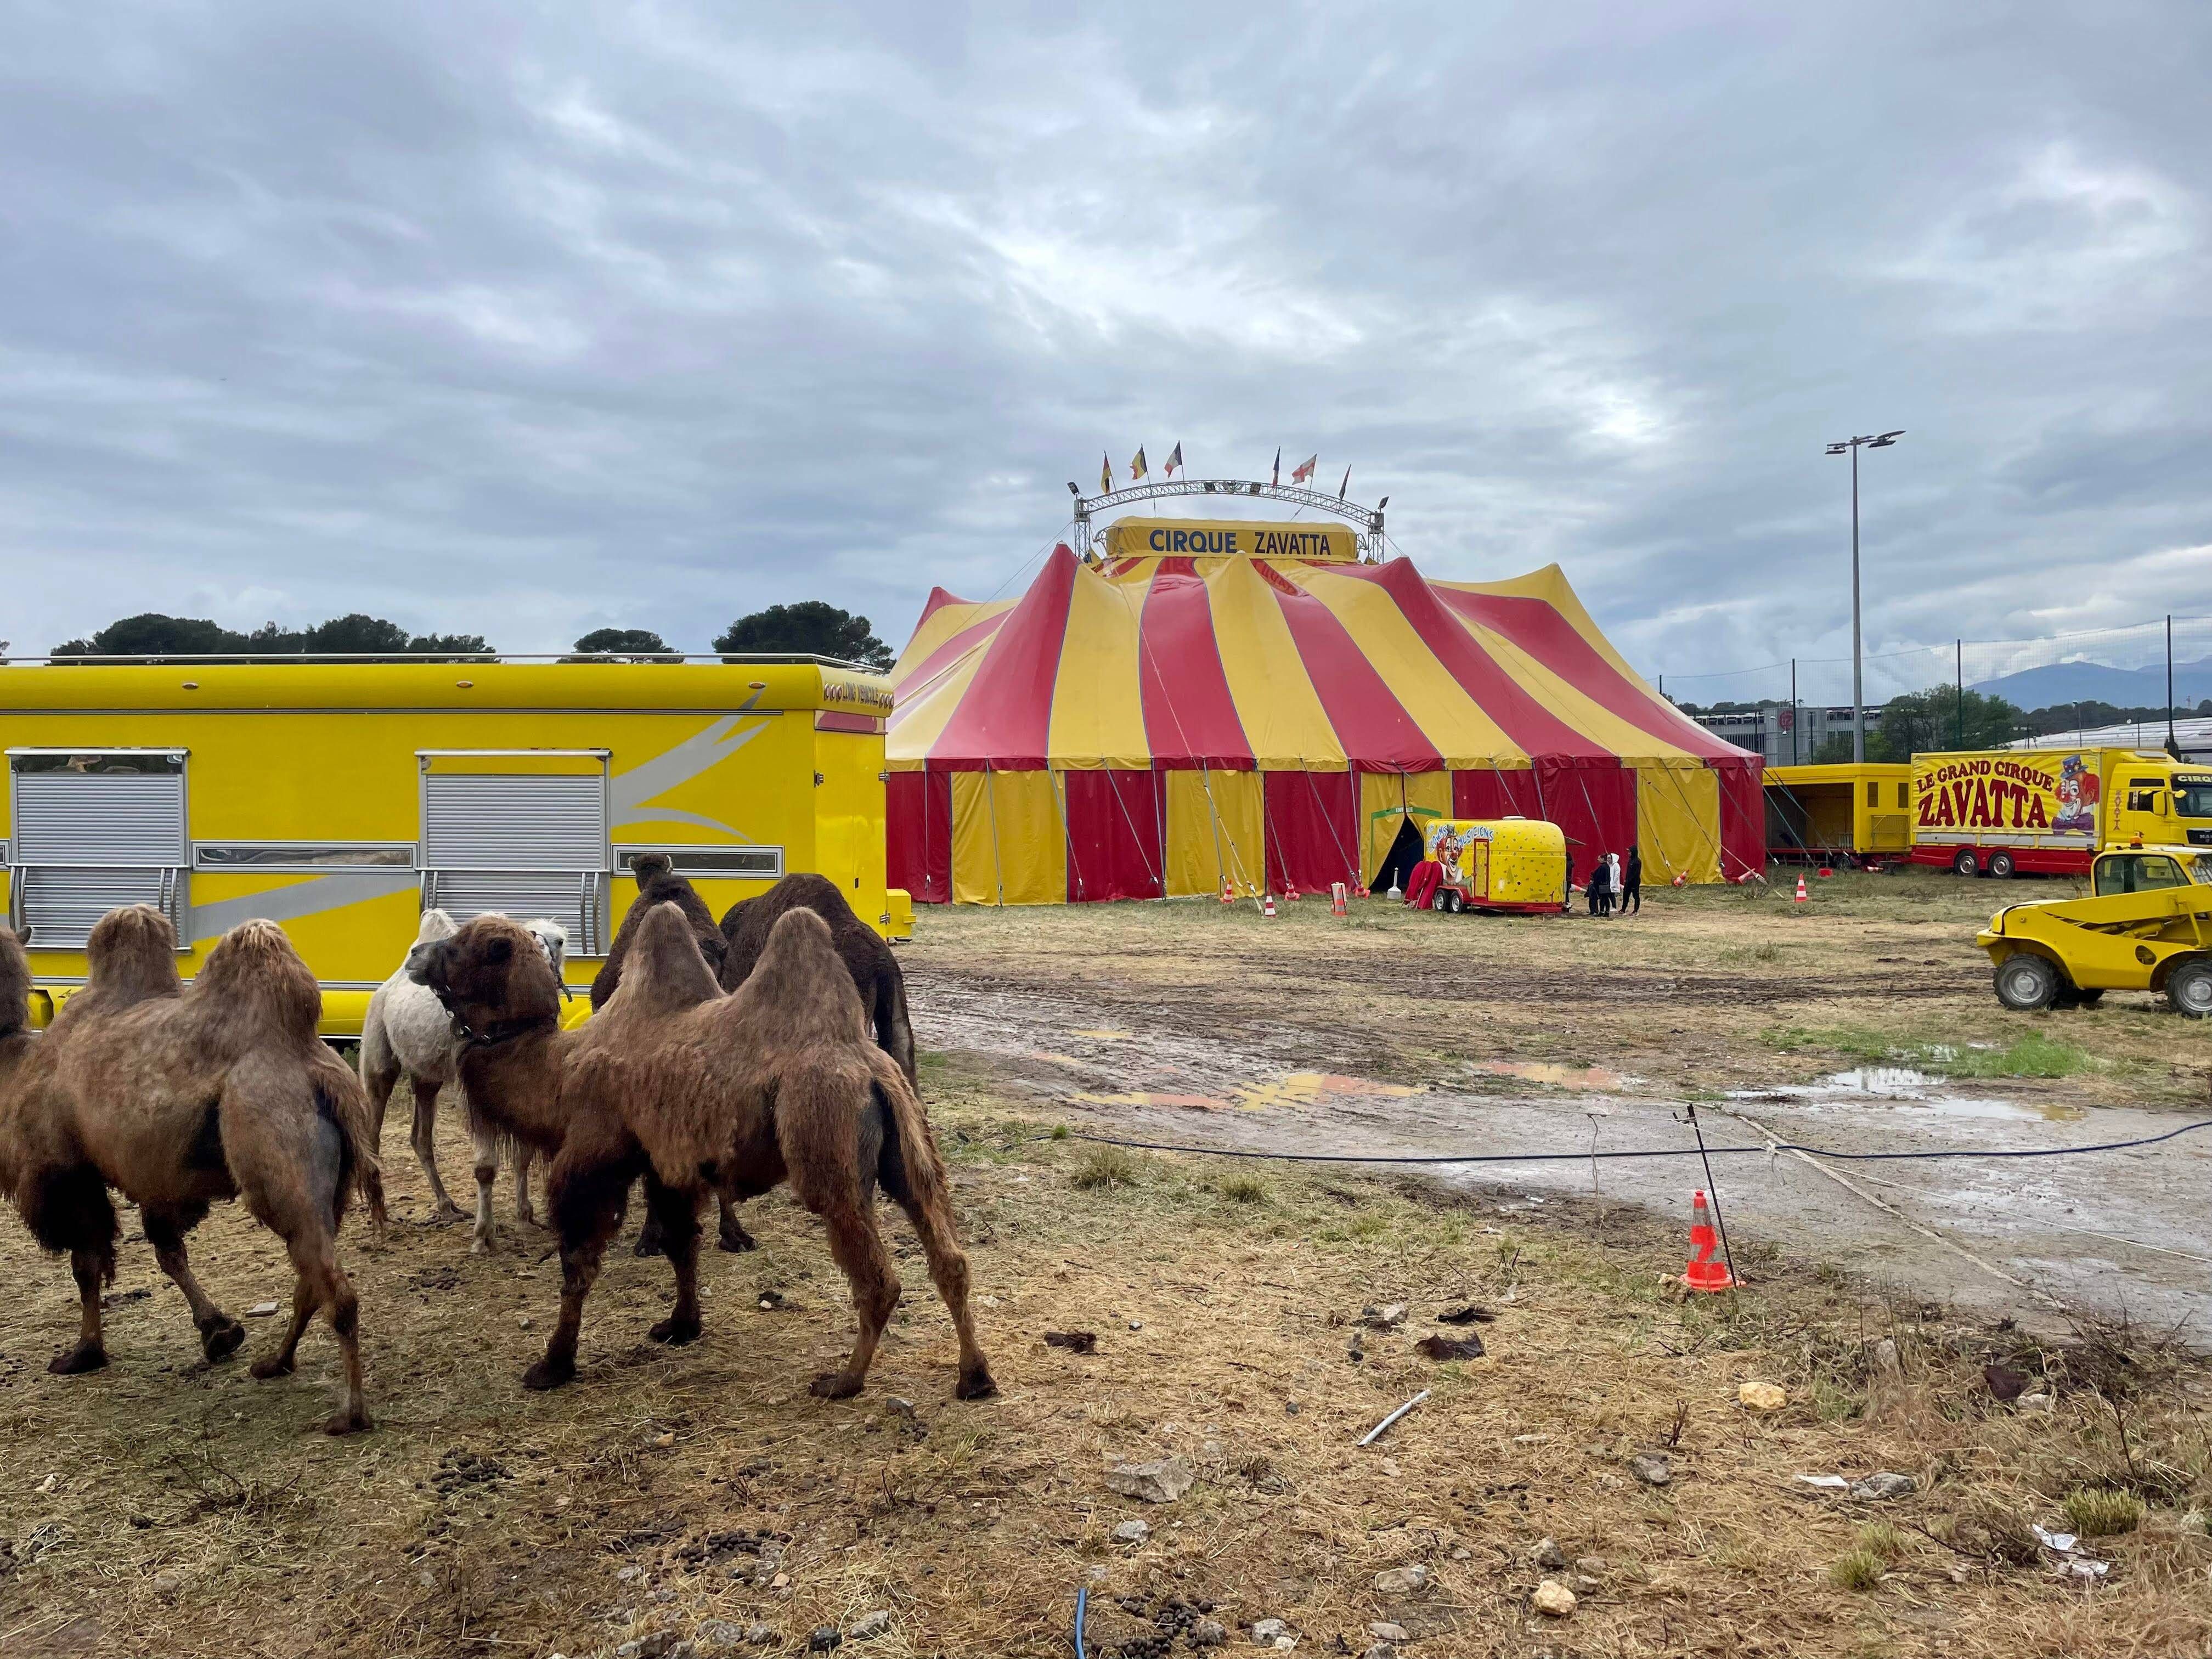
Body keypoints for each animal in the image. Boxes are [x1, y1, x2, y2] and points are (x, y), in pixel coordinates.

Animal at [0, 902, 385, 1433]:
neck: (16, 1065)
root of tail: (311, 1064)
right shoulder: (155, 1182)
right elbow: (169, 1253)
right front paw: (220, 1333)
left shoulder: (67, 1171)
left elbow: (88, 1263)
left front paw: (84, 1353)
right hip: (337, 1183)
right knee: (311, 1278)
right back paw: (275, 1363)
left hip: (276, 1151)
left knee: (334, 1288)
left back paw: (349, 1411)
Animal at [363, 916, 571, 1256]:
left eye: (561, 941)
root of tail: (386, 989)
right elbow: (485, 1166)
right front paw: (484, 1236)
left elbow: (525, 1151)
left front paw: (525, 1218)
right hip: (378, 1054)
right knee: (374, 1127)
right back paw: (378, 1214)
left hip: (427, 1077)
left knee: (421, 1137)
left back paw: (447, 1207)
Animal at [413, 902, 995, 1398]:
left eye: (464, 946)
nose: (415, 955)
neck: (557, 1071)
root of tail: (869, 1068)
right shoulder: (667, 1164)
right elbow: (680, 1243)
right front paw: (681, 1326)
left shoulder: (594, 1155)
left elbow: (577, 1262)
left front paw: (553, 1365)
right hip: (910, 1145)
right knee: (948, 1254)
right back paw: (975, 1377)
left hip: (823, 1131)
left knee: (876, 1274)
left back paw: (844, 1382)